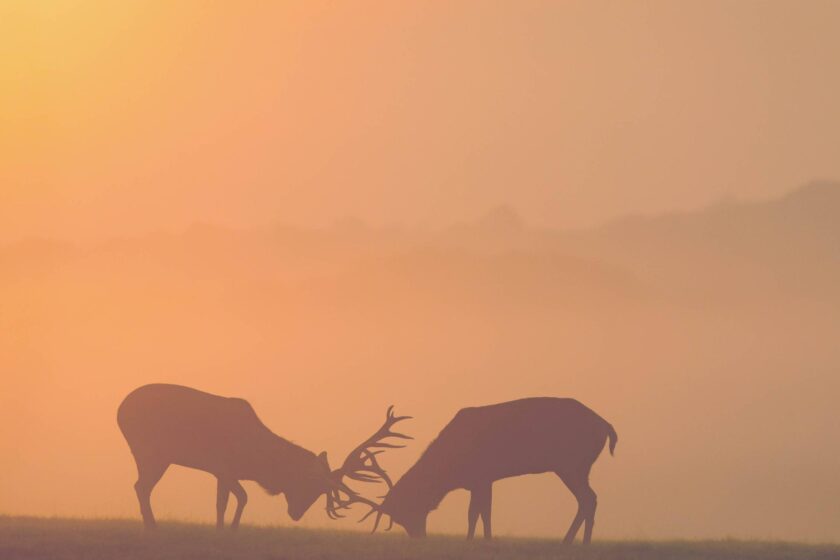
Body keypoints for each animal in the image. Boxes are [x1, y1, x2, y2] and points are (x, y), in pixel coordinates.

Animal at [116, 382, 412, 532]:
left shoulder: (221, 472)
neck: (256, 462)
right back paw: (152, 526)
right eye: (311, 486)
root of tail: (120, 410)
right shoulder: (224, 466)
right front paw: (231, 530)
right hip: (150, 451)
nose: (296, 514)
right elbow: (242, 497)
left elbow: (222, 502)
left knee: (141, 486)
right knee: (141, 486)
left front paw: (222, 530)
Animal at [340, 398, 616, 548]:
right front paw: (480, 540)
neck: (450, 469)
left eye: (405, 511)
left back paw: (574, 542)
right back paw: (576, 541)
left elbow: (476, 513)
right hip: (575, 467)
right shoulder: (482, 480)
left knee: (588, 499)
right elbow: (481, 512)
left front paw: (475, 540)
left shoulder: (481, 475)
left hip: (572, 464)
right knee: (587, 499)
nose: (419, 537)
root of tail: (607, 426)